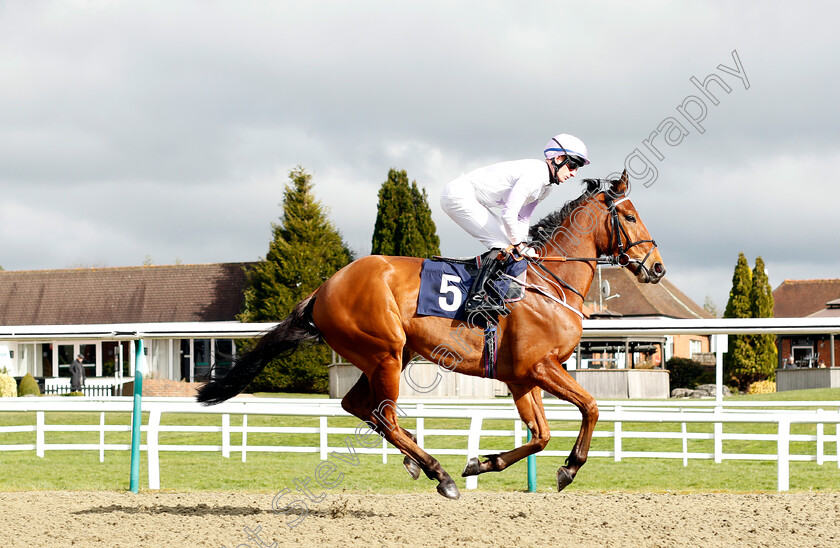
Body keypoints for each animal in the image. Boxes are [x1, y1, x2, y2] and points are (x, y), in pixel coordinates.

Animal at [197, 172, 664, 500]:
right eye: (629, 216)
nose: (657, 268)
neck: (548, 282)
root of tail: (323, 288)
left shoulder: (520, 377)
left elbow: (540, 434)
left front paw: (483, 463)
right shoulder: (540, 366)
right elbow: (591, 407)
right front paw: (569, 468)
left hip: (389, 355)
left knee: (359, 406)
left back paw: (416, 461)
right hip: (385, 353)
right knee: (382, 414)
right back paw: (437, 472)